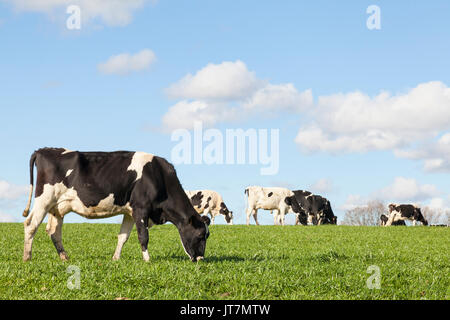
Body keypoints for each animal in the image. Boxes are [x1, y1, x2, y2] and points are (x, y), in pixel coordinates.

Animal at [21, 148, 211, 262]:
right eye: (200, 235)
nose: (200, 259)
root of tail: (43, 150)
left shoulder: (129, 212)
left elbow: (123, 237)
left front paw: (116, 258)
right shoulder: (141, 208)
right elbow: (143, 236)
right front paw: (147, 260)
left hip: (57, 207)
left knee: (54, 231)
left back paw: (64, 257)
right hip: (44, 199)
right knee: (31, 224)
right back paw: (27, 257)